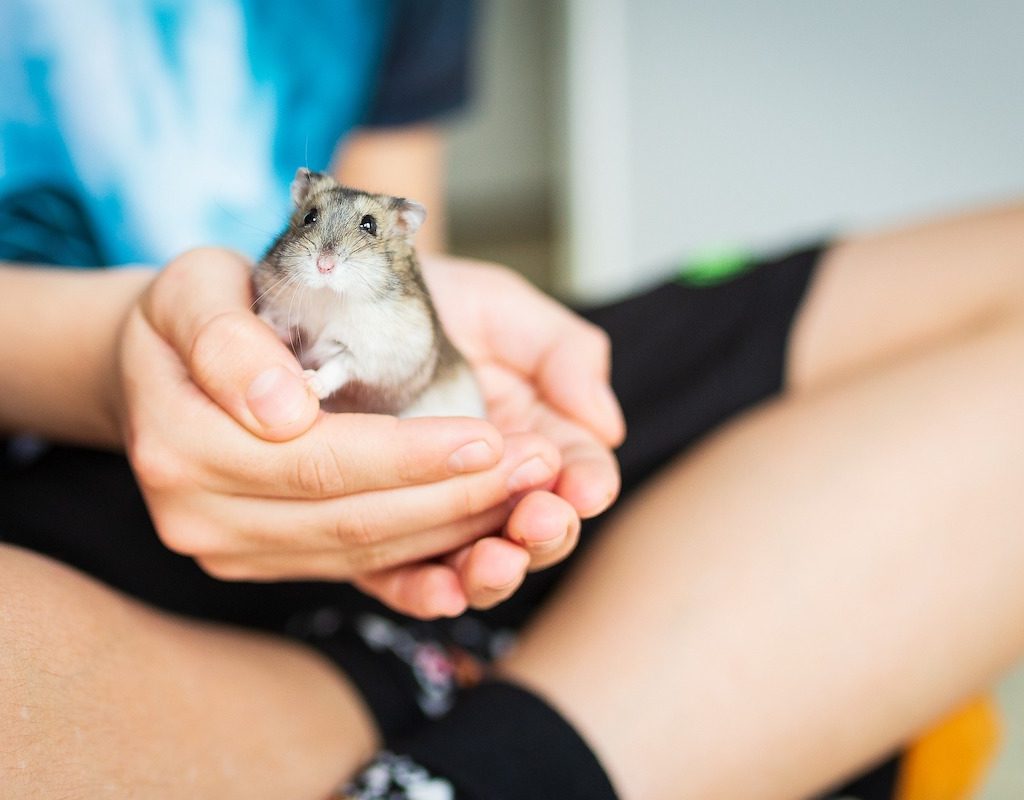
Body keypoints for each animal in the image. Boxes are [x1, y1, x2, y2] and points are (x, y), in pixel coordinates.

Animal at [253, 168, 485, 418]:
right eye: (309, 217)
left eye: (369, 225)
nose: (324, 266)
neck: (329, 295)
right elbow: (284, 326)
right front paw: (261, 321)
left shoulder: (367, 353)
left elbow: (339, 366)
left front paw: (310, 382)